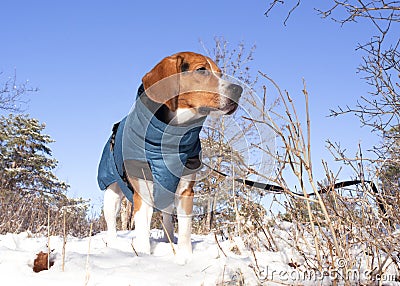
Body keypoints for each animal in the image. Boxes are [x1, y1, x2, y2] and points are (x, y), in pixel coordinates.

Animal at [99, 52, 244, 264]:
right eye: (201, 70)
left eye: (220, 73)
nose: (239, 90)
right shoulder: (143, 194)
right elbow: (142, 230)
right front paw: (144, 256)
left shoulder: (185, 193)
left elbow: (185, 231)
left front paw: (186, 257)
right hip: (112, 195)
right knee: (111, 224)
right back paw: (112, 245)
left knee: (168, 221)